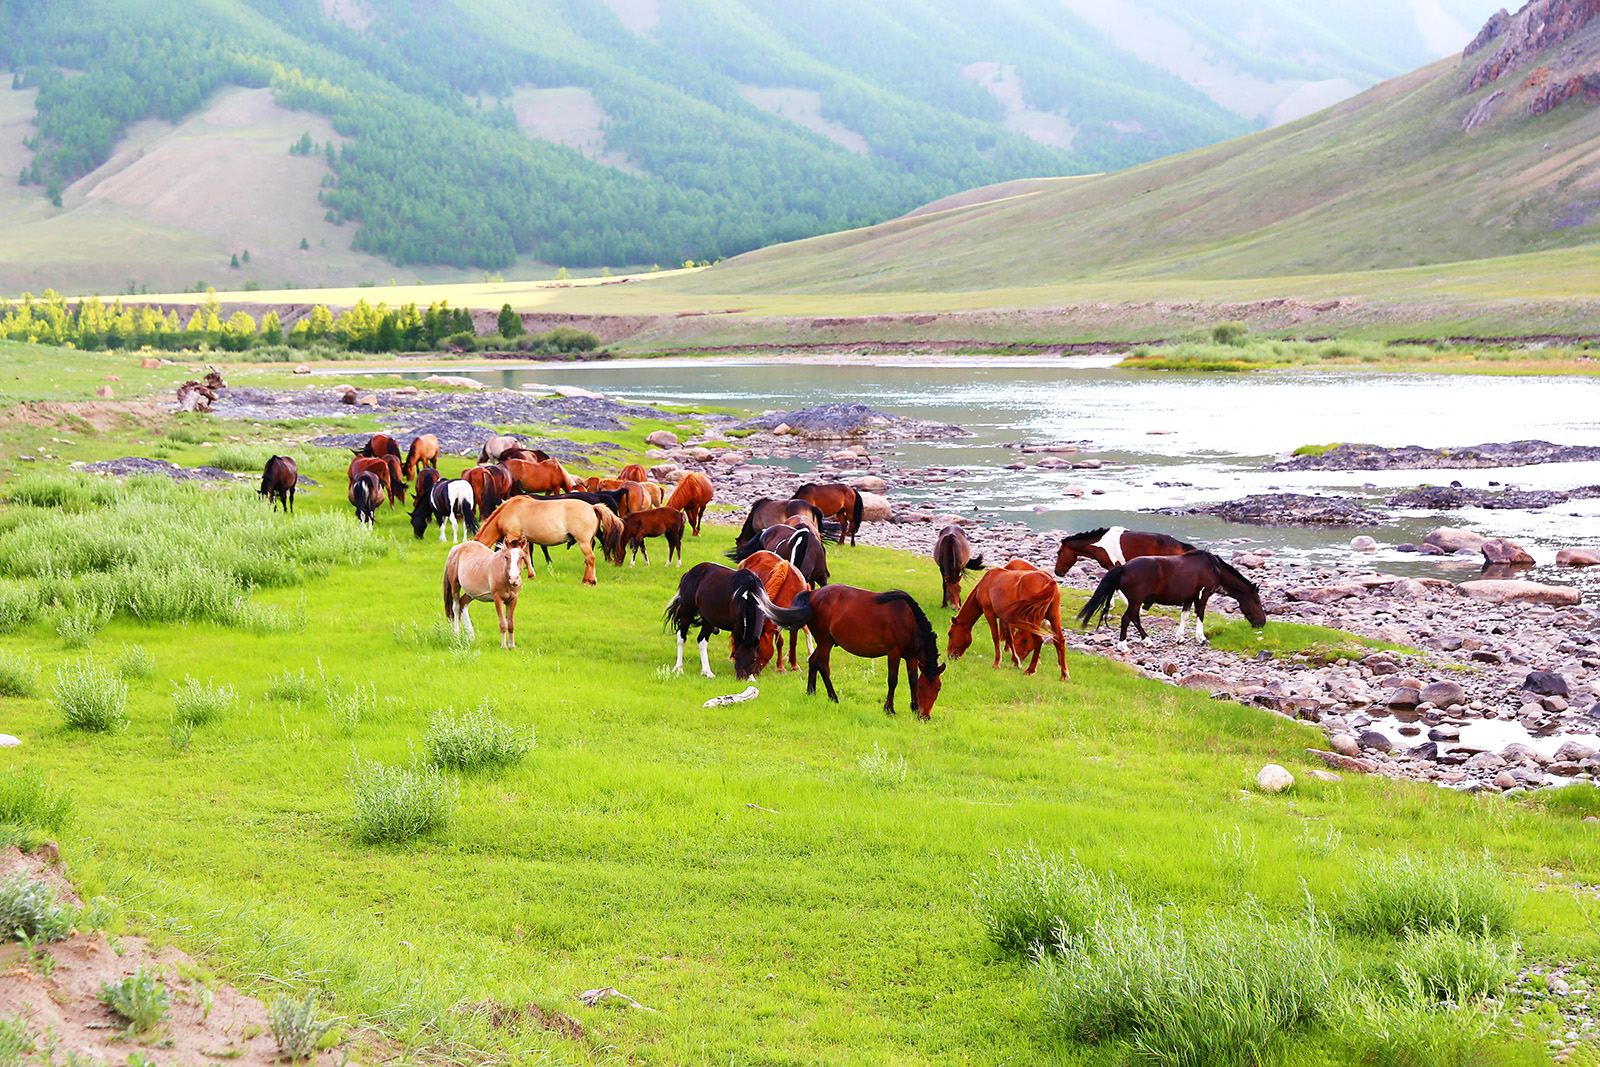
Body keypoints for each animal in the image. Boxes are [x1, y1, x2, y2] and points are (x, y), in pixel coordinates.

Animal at [470, 499, 620, 585]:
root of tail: (593, 508)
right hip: (588, 542)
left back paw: (590, 581)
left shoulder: (513, 537)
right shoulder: (524, 540)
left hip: (583, 542)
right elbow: (526, 557)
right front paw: (530, 576)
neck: (508, 510)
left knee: (590, 558)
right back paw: (586, 579)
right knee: (589, 561)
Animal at [752, 588, 940, 723]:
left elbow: (912, 679)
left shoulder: (911, 656)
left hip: (826, 642)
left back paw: (811, 692)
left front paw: (914, 707)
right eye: (923, 688)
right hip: (825, 641)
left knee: (813, 661)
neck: (907, 620)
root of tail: (813, 593)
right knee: (823, 666)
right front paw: (889, 709)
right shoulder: (893, 653)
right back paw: (833, 697)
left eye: (938, 688)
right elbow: (893, 680)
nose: (925, 716)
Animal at [1081, 556, 1267, 646]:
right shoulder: (1202, 596)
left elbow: (1184, 616)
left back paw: (1147, 641)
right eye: (1257, 602)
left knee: (1134, 618)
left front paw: (1180, 637)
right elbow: (1200, 616)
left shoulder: (1189, 598)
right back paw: (1123, 645)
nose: (1262, 622)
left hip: (1133, 602)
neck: (1214, 569)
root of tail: (1124, 568)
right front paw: (1201, 638)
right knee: (1127, 619)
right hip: (1135, 601)